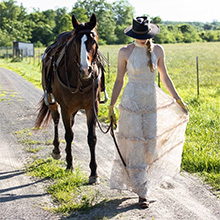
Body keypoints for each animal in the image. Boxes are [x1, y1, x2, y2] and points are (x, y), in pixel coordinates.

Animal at [35, 14, 105, 184]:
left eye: (93, 41)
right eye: (75, 43)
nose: (85, 70)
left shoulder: (91, 107)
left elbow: (91, 138)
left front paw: (93, 173)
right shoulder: (65, 108)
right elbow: (68, 135)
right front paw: (69, 165)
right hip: (53, 102)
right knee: (56, 120)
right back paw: (57, 150)